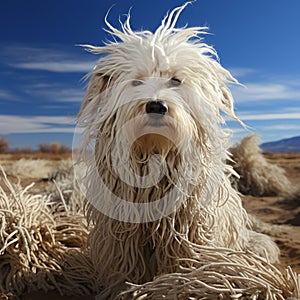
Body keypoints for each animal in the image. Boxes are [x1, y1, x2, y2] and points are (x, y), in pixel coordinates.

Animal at [74, 3, 278, 298]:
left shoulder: (187, 231)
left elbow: (185, 265)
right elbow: (125, 270)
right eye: (136, 82)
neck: (154, 154)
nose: (156, 106)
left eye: (176, 81)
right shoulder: (122, 234)